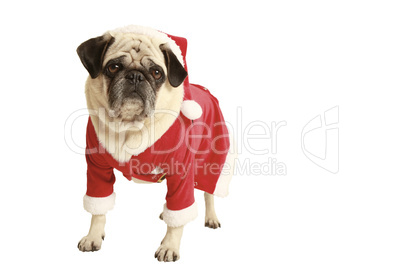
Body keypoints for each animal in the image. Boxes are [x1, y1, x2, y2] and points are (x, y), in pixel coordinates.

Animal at [75, 25, 236, 262]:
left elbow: (179, 213)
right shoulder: (97, 169)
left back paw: (211, 217)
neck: (131, 127)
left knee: (208, 192)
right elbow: (98, 207)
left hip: (212, 162)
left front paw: (169, 246)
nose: (135, 76)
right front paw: (94, 236)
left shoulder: (181, 171)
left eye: (157, 73)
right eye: (113, 67)